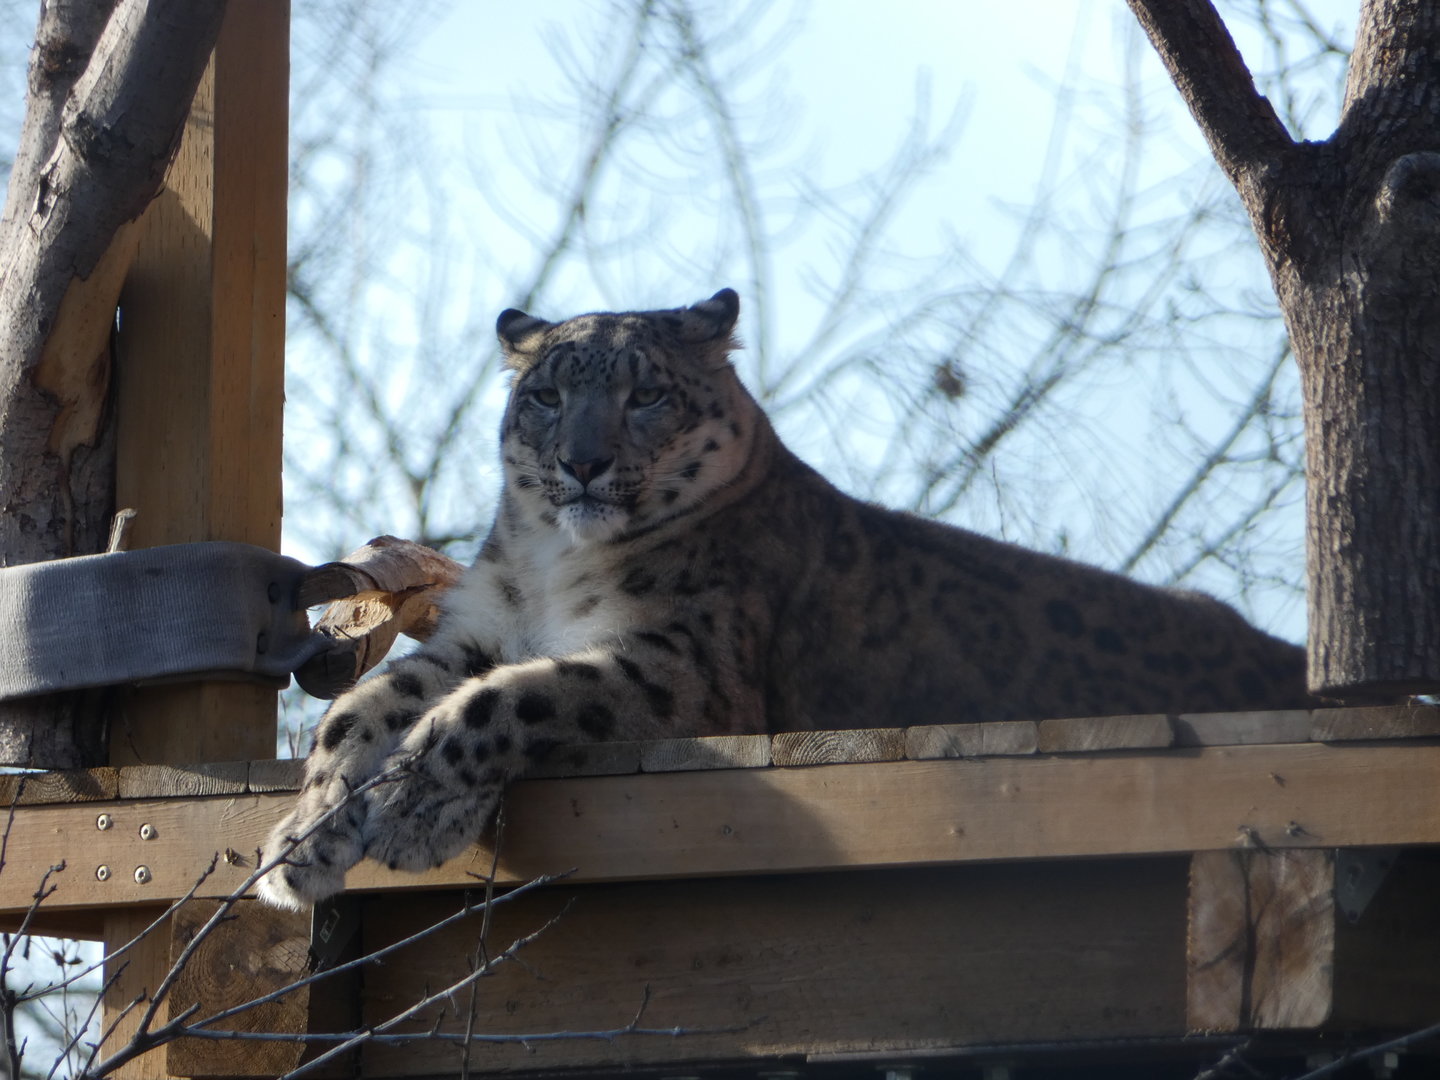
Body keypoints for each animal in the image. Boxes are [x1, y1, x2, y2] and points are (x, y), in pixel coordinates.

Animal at [258, 288, 1310, 909]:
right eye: (547, 396)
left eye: (647, 395)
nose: (582, 462)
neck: (555, 566)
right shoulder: (479, 630)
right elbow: (359, 706)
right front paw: (301, 840)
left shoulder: (684, 663)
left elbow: (508, 699)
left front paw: (413, 806)